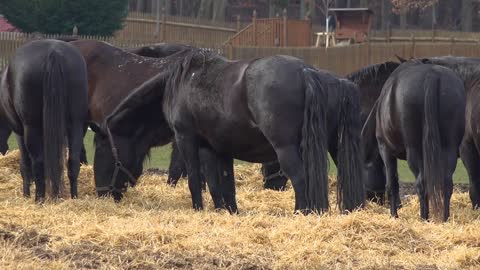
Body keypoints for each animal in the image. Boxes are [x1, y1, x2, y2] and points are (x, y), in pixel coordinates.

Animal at [0, 39, 88, 200]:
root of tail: (53, 52)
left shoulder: (20, 132)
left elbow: (25, 165)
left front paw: (26, 195)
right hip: (76, 125)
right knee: (73, 162)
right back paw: (74, 198)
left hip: (31, 127)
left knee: (38, 163)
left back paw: (39, 200)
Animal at [94, 49, 364, 215]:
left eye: (103, 151)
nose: (103, 194)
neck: (181, 83)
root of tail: (308, 72)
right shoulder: (216, 147)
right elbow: (221, 183)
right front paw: (227, 211)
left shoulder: (186, 139)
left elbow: (195, 179)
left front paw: (198, 210)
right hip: (334, 146)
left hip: (286, 148)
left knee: (299, 179)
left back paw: (301, 213)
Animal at [364, 60, 464, 220]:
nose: (371, 199)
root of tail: (432, 74)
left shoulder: (385, 150)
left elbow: (392, 184)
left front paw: (394, 215)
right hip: (449, 149)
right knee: (447, 183)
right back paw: (445, 218)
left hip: (414, 150)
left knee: (421, 183)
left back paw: (424, 218)